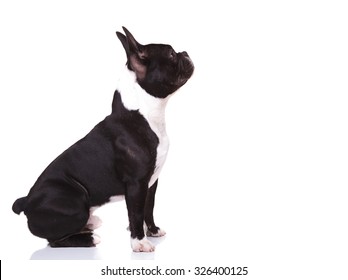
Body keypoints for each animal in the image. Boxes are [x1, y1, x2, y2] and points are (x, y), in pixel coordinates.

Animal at [12, 27, 194, 253]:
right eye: (170, 54)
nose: (185, 52)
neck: (145, 114)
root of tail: (25, 202)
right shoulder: (136, 184)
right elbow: (135, 213)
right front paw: (139, 242)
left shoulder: (151, 182)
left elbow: (148, 208)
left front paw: (152, 230)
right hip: (75, 200)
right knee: (54, 240)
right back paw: (89, 238)